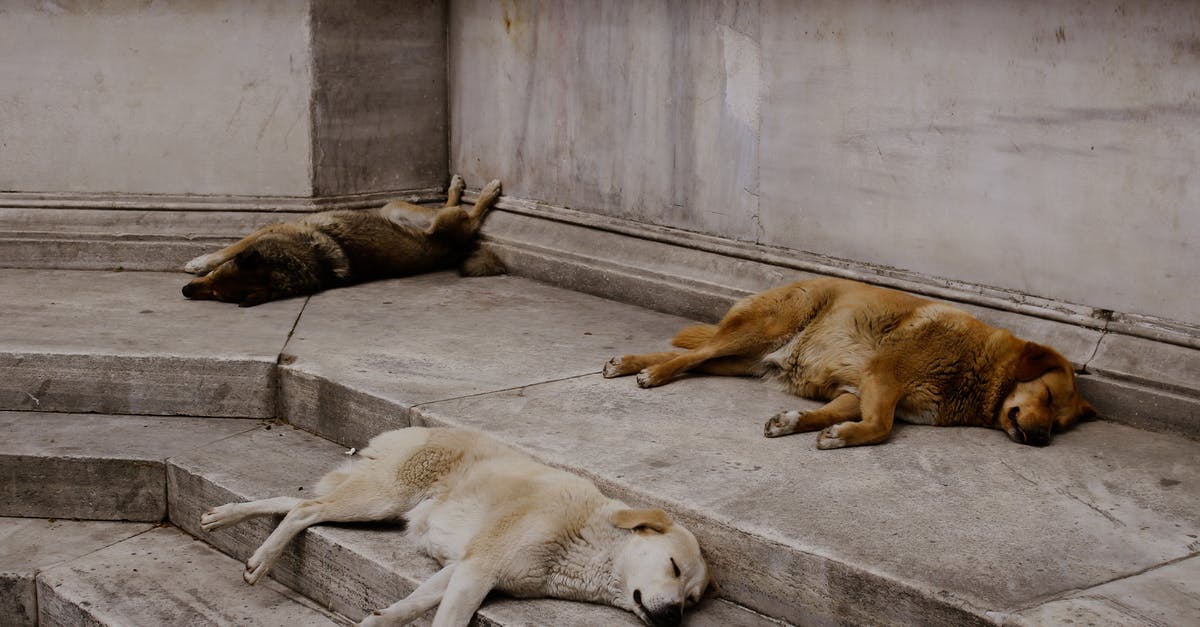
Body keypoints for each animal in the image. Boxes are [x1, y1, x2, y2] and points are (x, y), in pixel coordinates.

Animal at [182, 175, 506, 305]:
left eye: (217, 288)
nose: (185, 291)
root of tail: (454, 250)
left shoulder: (273, 228)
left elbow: (232, 247)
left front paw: (200, 261)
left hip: (443, 220)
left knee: (471, 216)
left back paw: (486, 192)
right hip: (396, 208)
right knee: (449, 207)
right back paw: (456, 187)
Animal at [199, 422, 710, 619]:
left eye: (693, 599)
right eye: (674, 568)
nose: (673, 617)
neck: (585, 538)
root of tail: (415, 428)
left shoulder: (464, 569)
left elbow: (410, 605)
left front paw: (378, 621)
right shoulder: (478, 570)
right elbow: (446, 620)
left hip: (375, 504)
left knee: (295, 503)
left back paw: (223, 516)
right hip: (381, 498)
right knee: (306, 510)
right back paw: (261, 559)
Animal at [609, 276, 1099, 446]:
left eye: (1060, 424)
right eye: (1047, 396)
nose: (1041, 440)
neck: (976, 368)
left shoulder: (858, 390)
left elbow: (833, 413)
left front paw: (798, 423)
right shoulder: (883, 375)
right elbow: (881, 426)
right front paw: (845, 437)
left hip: (743, 359)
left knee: (693, 357)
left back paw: (635, 362)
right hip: (764, 328)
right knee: (694, 353)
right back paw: (650, 371)